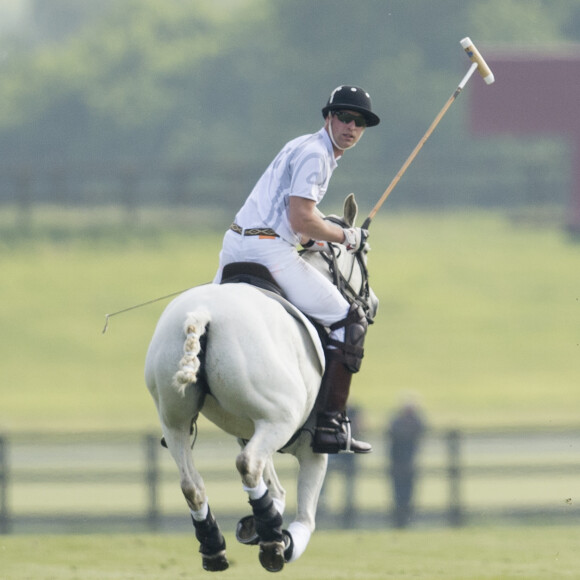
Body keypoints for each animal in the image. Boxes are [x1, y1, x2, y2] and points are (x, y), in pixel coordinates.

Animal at [145, 194, 376, 572]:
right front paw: (278, 535)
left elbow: (275, 489)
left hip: (175, 419)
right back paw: (272, 544)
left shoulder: (250, 426)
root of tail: (203, 314)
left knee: (191, 484)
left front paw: (259, 521)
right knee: (248, 464)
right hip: (279, 418)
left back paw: (215, 546)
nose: (372, 304)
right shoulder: (309, 450)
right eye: (365, 252)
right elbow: (304, 516)